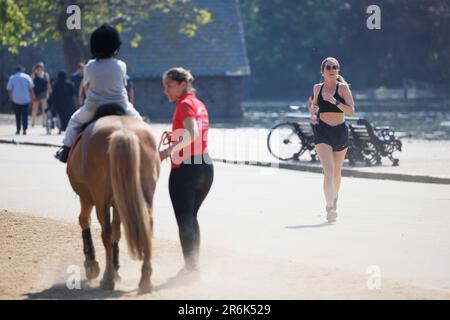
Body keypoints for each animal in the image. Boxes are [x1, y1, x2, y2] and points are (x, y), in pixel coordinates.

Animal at [66, 111, 159, 294]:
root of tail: (123, 132)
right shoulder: (118, 202)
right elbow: (117, 231)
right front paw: (116, 270)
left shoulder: (87, 197)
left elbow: (84, 221)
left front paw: (92, 265)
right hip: (145, 194)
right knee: (146, 227)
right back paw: (145, 280)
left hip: (100, 199)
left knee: (106, 233)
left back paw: (107, 279)